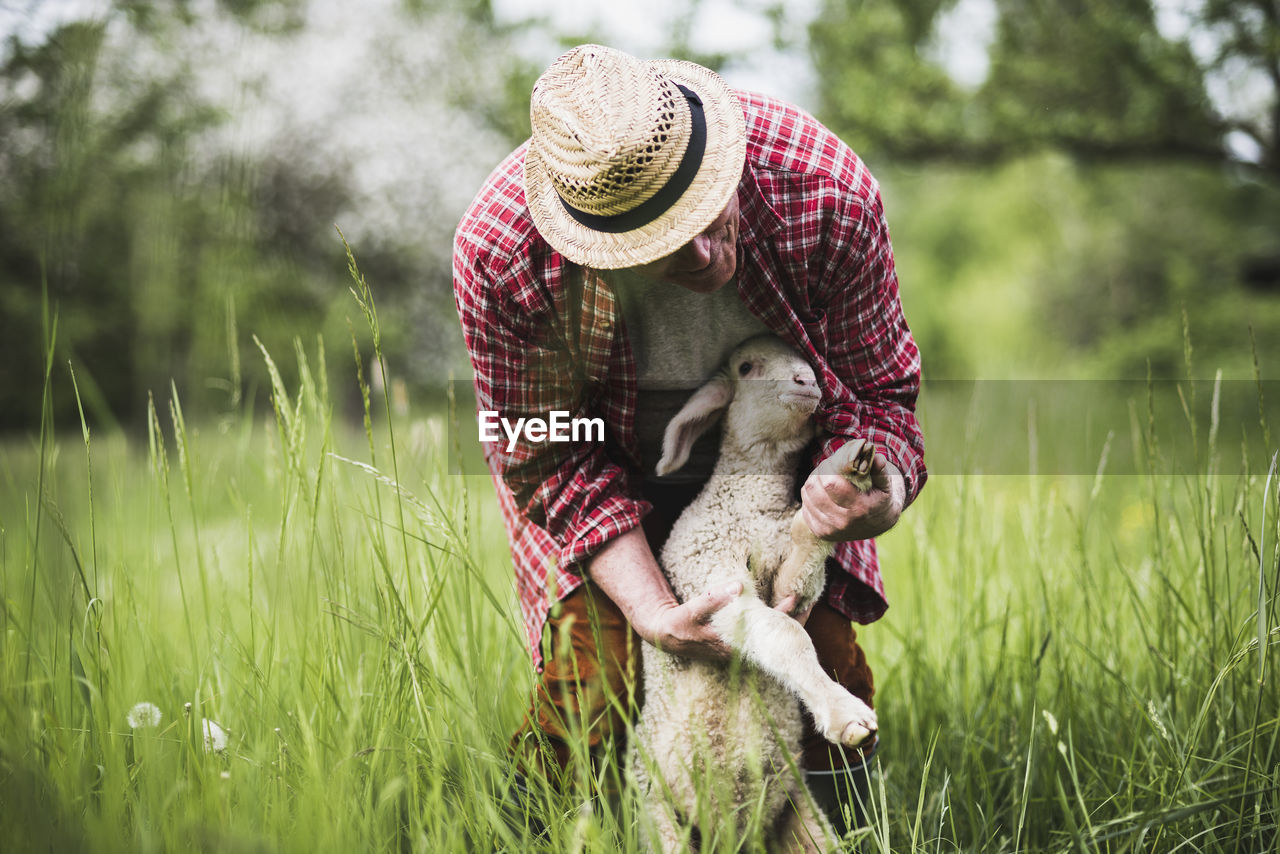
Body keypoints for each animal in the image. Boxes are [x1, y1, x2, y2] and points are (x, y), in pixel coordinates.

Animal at [629, 335, 880, 854]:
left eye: (806, 357)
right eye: (746, 367)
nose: (807, 381)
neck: (753, 506)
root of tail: (733, 838)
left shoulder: (791, 580)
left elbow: (805, 549)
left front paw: (848, 471)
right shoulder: (708, 572)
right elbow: (784, 634)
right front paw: (846, 715)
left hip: (803, 819)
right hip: (659, 816)